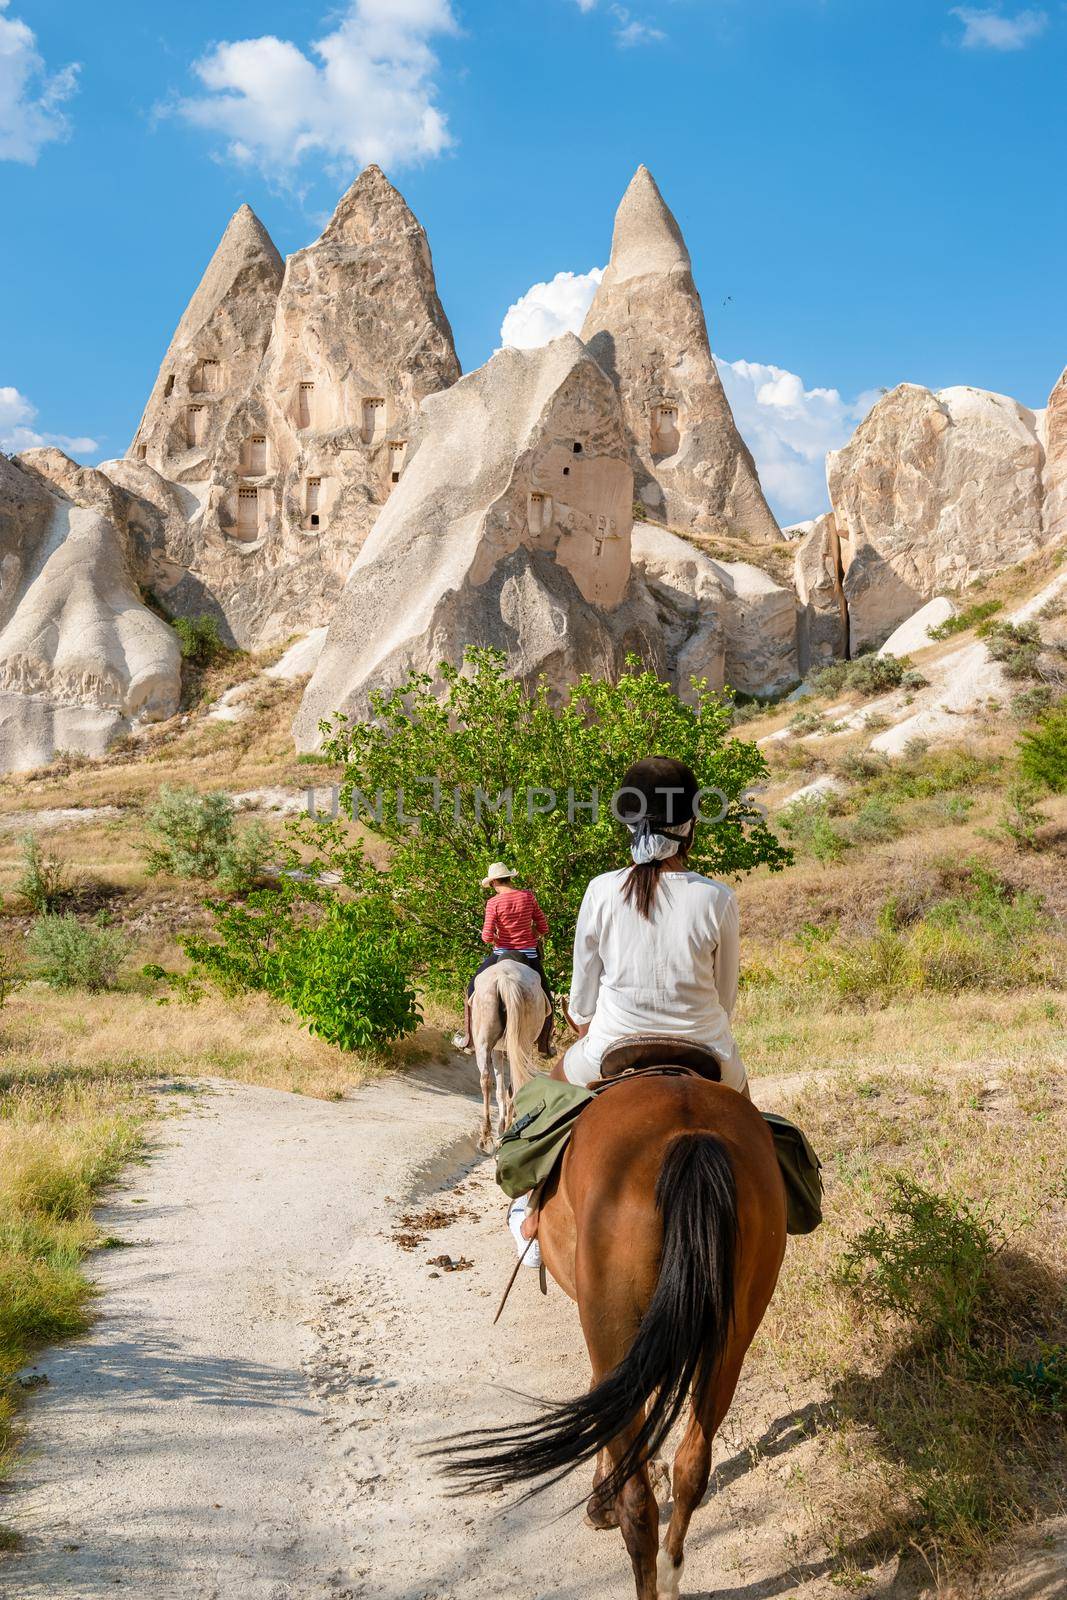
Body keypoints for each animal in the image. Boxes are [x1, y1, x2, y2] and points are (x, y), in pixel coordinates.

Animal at [438, 1068, 790, 1600]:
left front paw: (599, 1502)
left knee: (639, 1503)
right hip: (731, 1340)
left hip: (615, 1325)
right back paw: (671, 1571)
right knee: (692, 1467)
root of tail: (692, 1137)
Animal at [473, 953, 550, 1158]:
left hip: (484, 1043)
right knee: (511, 1084)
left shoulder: (498, 1050)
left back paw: (487, 1138)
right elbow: (504, 1090)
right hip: (520, 1044)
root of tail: (504, 978)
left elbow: (500, 1090)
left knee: (486, 1079)